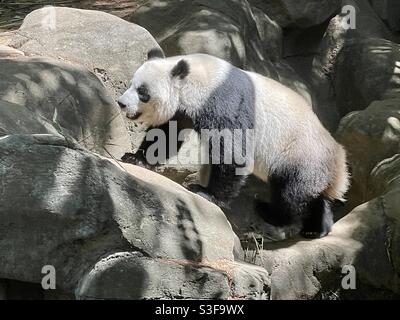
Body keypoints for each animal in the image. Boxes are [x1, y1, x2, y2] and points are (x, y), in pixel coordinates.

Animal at [117, 49, 348, 238]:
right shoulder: (183, 110)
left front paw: (205, 193)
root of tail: (339, 162)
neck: (197, 78)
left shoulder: (223, 102)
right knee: (314, 197)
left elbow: (232, 152)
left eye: (143, 92)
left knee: (290, 192)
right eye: (130, 85)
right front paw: (135, 159)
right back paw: (316, 229)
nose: (121, 103)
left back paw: (270, 212)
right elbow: (165, 135)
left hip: (300, 154)